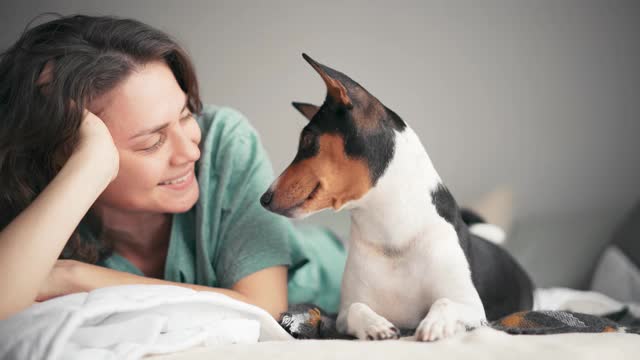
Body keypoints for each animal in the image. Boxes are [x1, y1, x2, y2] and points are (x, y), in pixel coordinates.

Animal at [260, 54, 536, 342]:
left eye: (307, 140)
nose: (263, 198)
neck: (391, 237)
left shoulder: (470, 306)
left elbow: (443, 302)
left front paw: (434, 324)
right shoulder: (344, 313)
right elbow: (358, 308)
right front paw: (376, 326)